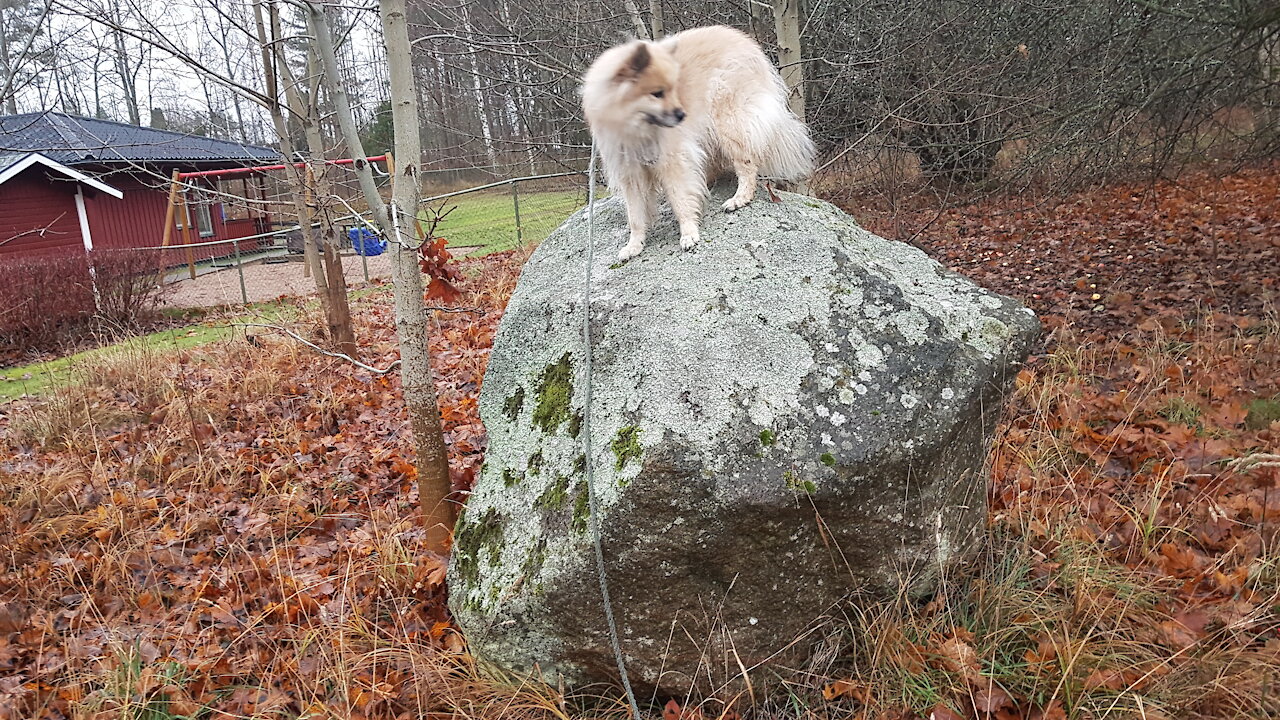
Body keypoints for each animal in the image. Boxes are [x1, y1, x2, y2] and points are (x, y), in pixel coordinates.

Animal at [581, 25, 808, 260]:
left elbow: (680, 200)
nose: (682, 114)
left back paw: (740, 198)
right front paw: (635, 245)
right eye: (657, 93)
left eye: (673, 89)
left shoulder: (671, 161)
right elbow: (635, 215)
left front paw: (688, 233)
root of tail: (745, 42)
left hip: (728, 122)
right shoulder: (630, 172)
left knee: (746, 164)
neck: (636, 128)